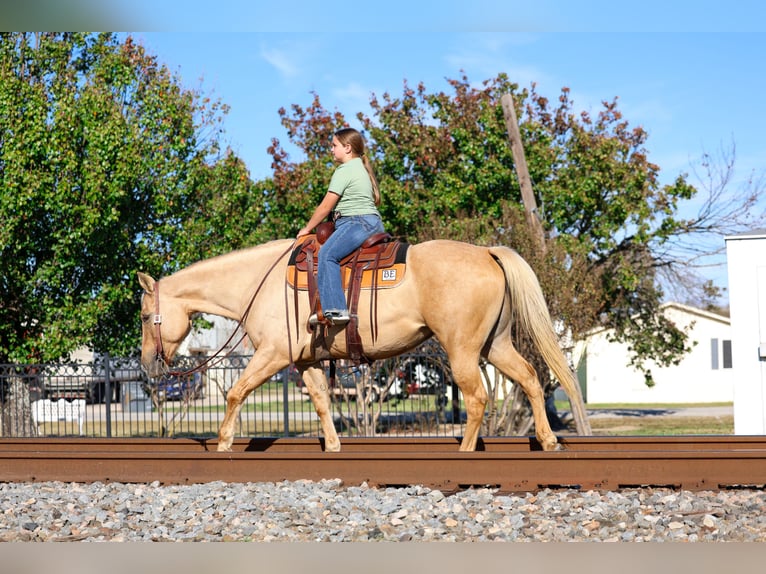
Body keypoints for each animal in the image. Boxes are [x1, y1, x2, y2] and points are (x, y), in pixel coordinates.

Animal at [138, 238, 591, 452]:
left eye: (144, 317)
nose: (148, 365)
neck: (258, 284)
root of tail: (487, 253)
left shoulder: (272, 355)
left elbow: (235, 392)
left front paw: (224, 441)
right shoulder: (305, 362)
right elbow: (322, 402)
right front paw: (335, 445)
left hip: (462, 350)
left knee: (478, 397)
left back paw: (464, 450)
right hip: (495, 345)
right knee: (530, 379)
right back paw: (548, 440)